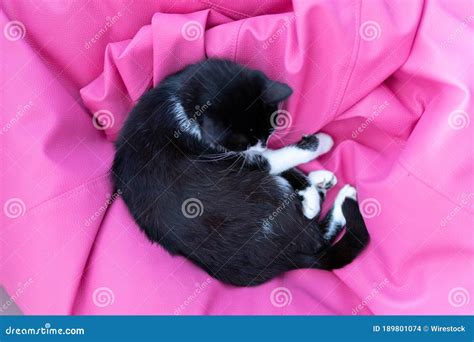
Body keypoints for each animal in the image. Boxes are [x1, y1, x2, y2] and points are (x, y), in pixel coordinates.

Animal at [112, 58, 370, 286]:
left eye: (268, 130)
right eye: (244, 141)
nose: (263, 144)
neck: (183, 98)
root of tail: (283, 261)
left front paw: (311, 188)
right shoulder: (229, 156)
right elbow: (276, 160)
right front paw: (320, 147)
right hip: (269, 194)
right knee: (317, 239)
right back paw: (341, 195)